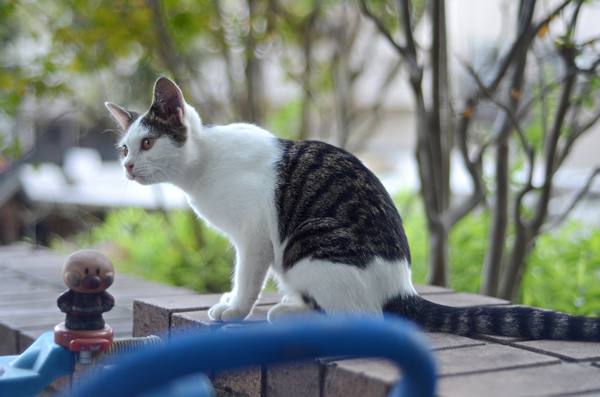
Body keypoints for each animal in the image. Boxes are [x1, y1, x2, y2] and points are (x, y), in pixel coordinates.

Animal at [108, 77, 600, 340]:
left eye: (148, 143)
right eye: (125, 148)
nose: (128, 167)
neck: (204, 164)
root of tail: (401, 286)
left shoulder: (255, 237)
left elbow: (247, 277)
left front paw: (235, 309)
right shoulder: (248, 240)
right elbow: (238, 278)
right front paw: (228, 301)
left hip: (307, 239)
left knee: (361, 315)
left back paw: (289, 313)